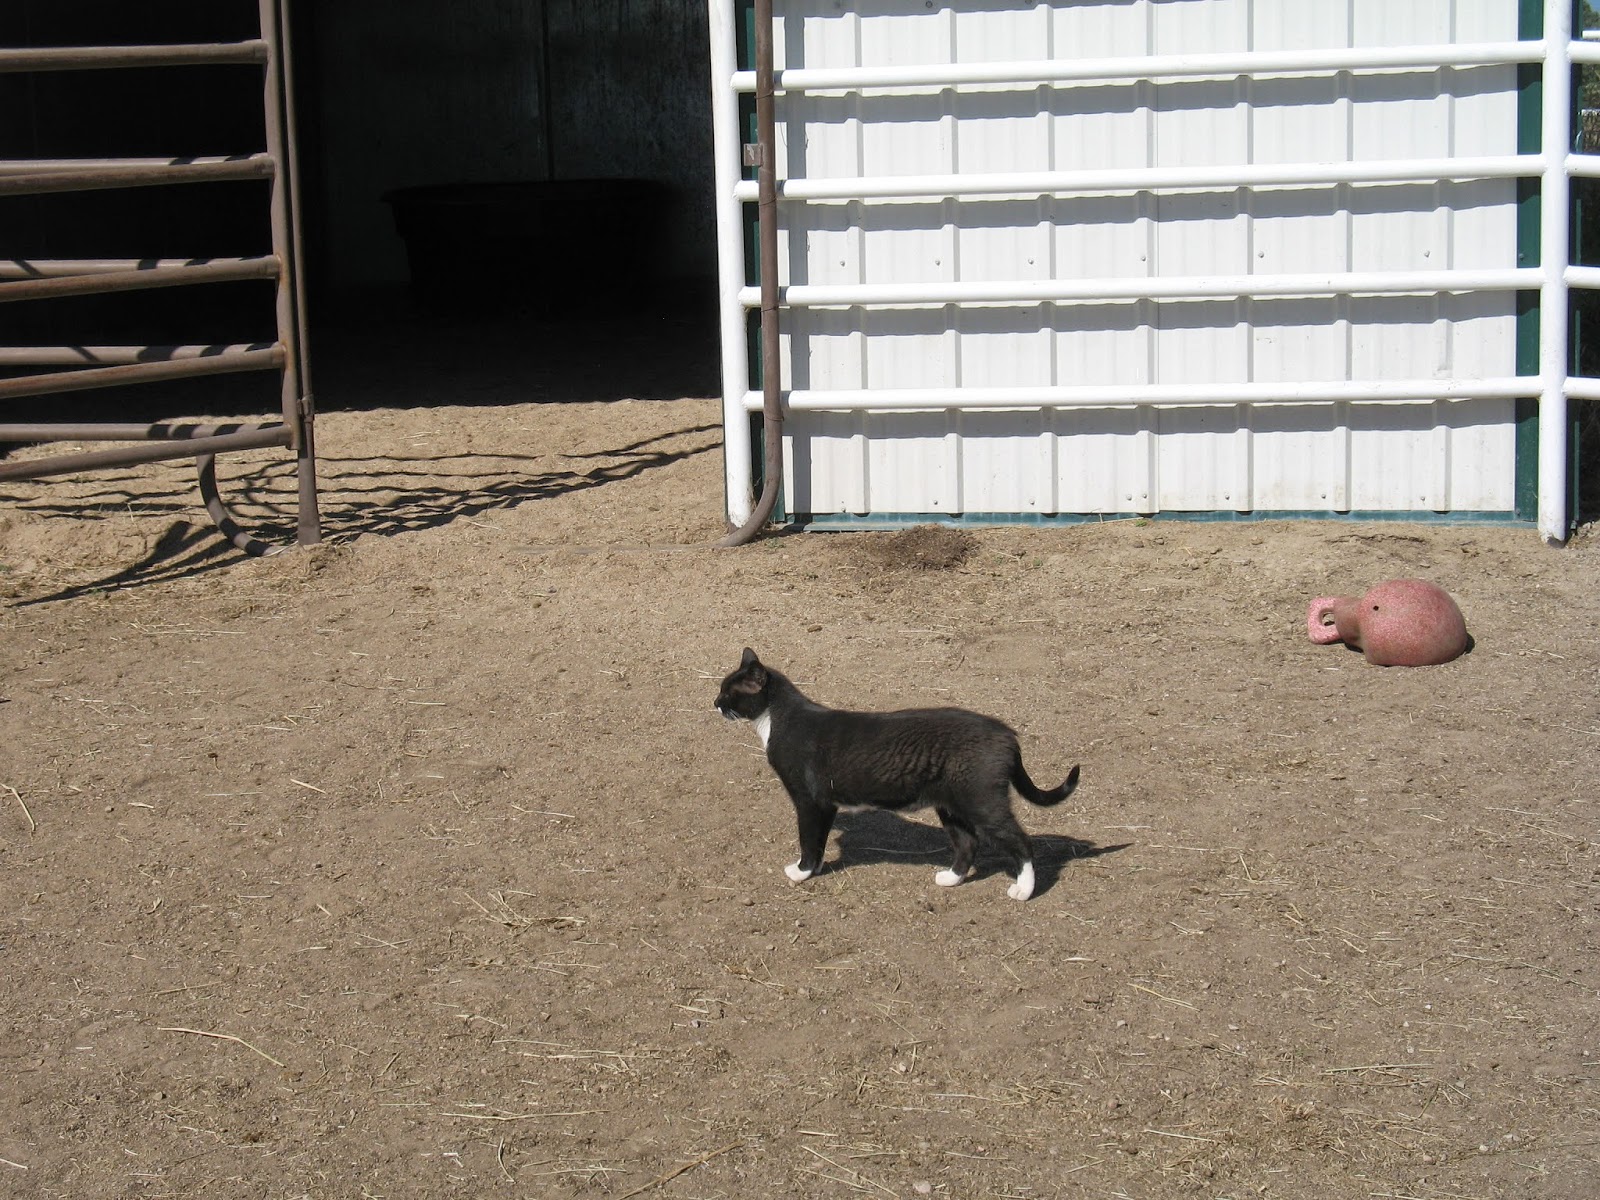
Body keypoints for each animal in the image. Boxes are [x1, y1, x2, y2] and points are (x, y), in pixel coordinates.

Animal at [714, 648, 1080, 901]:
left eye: (729, 692)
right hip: (951, 805)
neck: (777, 718)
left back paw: (1024, 890)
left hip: (982, 800)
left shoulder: (809, 800)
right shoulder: (826, 805)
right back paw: (951, 878)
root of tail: (1008, 735)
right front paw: (815, 869)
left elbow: (808, 838)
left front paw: (802, 872)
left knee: (1021, 841)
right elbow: (818, 841)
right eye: (720, 689)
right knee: (968, 842)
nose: (715, 702)